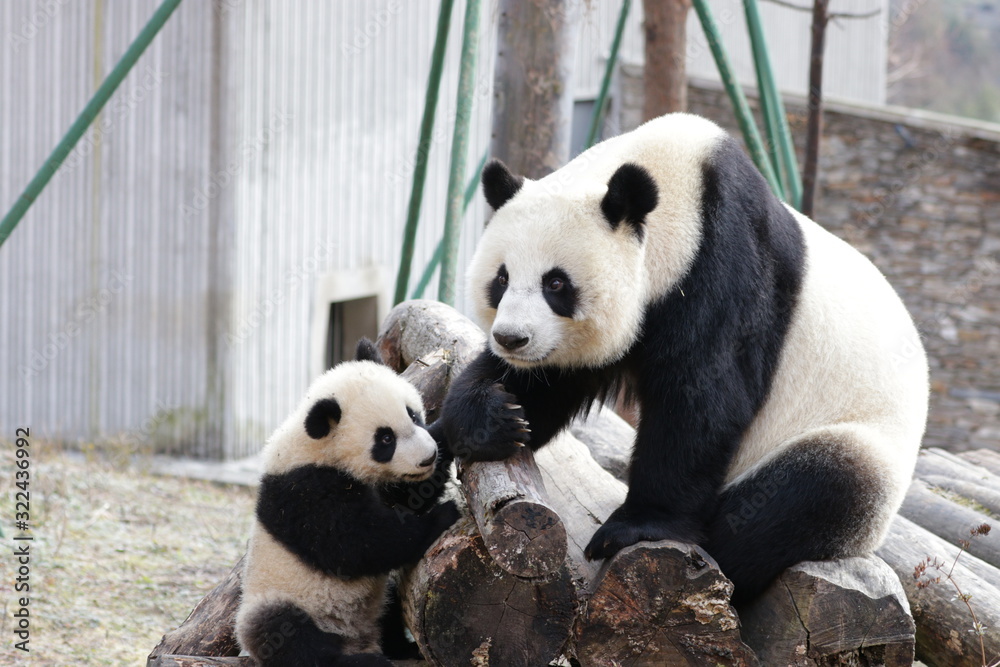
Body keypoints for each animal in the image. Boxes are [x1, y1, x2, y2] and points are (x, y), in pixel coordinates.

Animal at [438, 112, 928, 604]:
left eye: (556, 283)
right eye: (501, 279)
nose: (511, 338)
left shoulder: (726, 269)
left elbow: (703, 399)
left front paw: (636, 527)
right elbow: (550, 381)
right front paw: (494, 417)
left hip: (858, 446)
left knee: (810, 492)